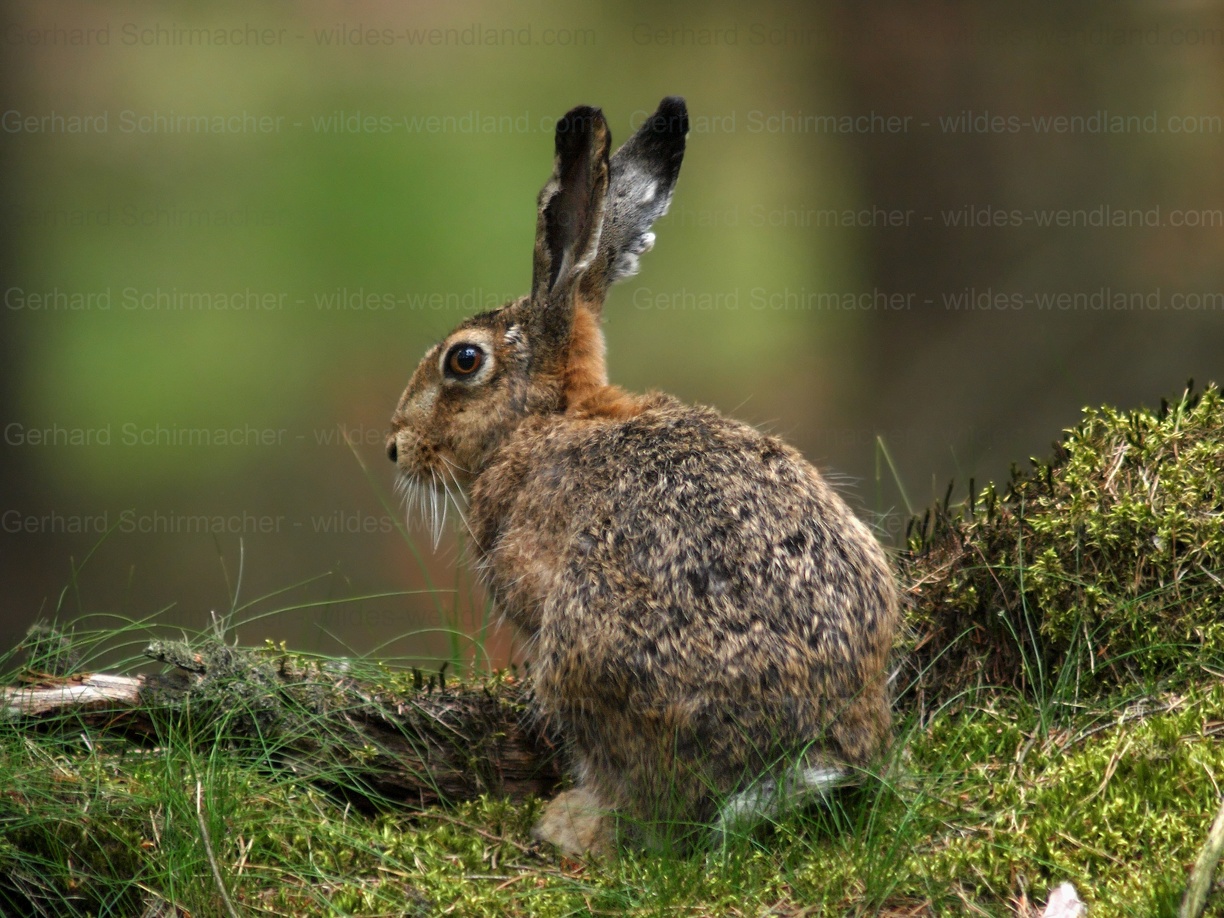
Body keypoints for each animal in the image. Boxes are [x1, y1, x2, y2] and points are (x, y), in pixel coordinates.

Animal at [386, 97, 900, 856]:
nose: (395, 446)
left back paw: (573, 824)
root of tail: (799, 757)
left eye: (464, 360)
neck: (546, 419)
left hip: (584, 654)